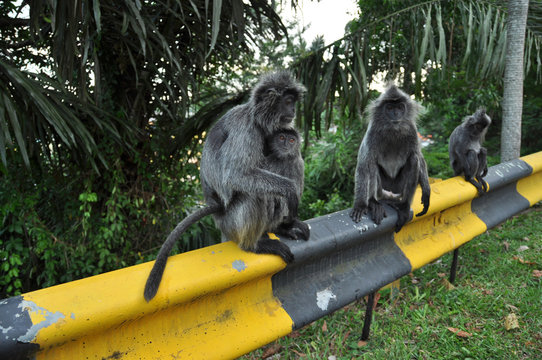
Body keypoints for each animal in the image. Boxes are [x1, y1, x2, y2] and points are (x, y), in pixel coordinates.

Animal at [142, 69, 310, 300]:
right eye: (287, 101)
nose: (293, 110)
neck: (257, 120)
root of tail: (216, 209)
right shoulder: (246, 129)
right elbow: (235, 176)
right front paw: (290, 191)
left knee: (292, 163)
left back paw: (281, 227)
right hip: (231, 223)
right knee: (255, 194)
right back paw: (254, 245)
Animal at [352, 83, 434, 232]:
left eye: (400, 107)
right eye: (390, 108)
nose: (395, 114)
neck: (393, 130)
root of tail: (390, 195)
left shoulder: (412, 131)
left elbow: (419, 157)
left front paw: (426, 191)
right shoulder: (372, 132)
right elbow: (363, 164)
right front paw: (360, 205)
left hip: (398, 190)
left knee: (414, 159)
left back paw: (404, 207)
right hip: (382, 191)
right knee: (371, 164)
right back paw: (373, 203)